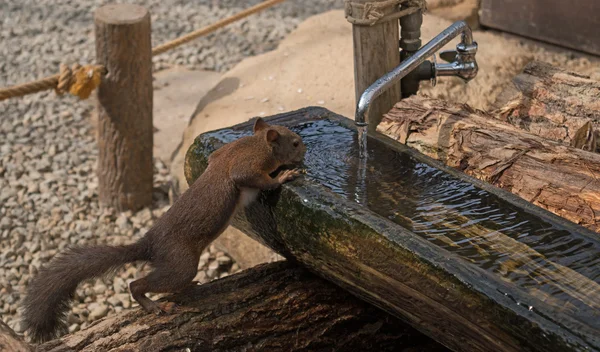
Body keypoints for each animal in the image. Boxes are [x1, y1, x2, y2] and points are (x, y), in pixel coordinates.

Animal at [21, 117, 308, 342]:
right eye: (294, 142)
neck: (255, 143)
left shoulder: (221, 154)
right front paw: (284, 176)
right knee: (138, 284)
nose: (304, 151)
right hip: (180, 263)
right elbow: (256, 178)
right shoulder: (246, 166)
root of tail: (150, 244)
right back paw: (154, 306)